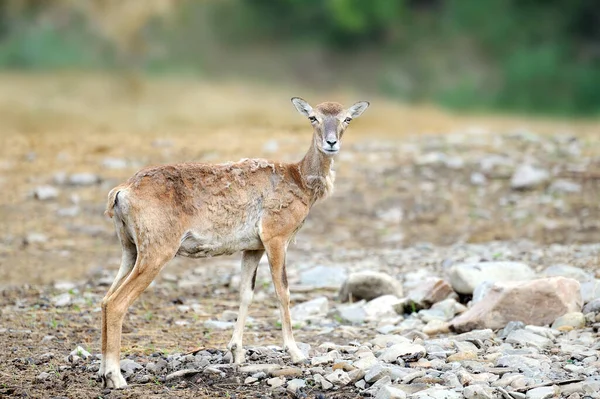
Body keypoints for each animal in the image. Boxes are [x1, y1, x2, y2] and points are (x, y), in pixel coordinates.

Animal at [98, 97, 368, 388]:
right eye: (313, 117)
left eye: (346, 119)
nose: (331, 142)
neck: (298, 179)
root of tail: (122, 192)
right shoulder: (276, 239)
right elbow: (282, 291)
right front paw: (296, 353)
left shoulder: (252, 248)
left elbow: (245, 293)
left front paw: (236, 353)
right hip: (156, 253)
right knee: (117, 303)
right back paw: (116, 377)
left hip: (130, 251)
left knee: (105, 299)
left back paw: (103, 373)